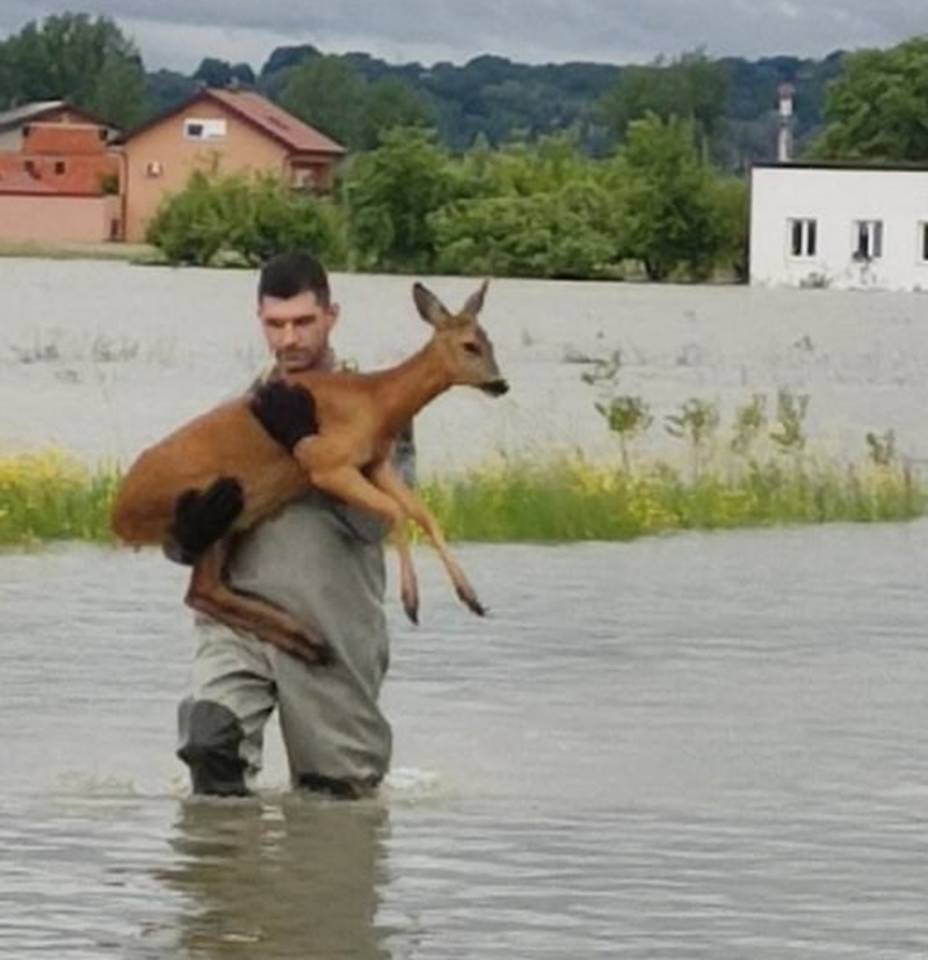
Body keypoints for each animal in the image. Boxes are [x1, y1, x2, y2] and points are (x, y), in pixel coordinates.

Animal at [114, 282, 516, 664]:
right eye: (470, 346)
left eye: (490, 342)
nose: (501, 384)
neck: (377, 404)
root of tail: (118, 517)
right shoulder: (328, 464)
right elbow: (396, 512)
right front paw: (411, 602)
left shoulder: (375, 464)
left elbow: (424, 514)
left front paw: (471, 597)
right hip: (217, 505)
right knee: (201, 589)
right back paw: (307, 637)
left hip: (230, 515)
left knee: (203, 590)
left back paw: (308, 640)